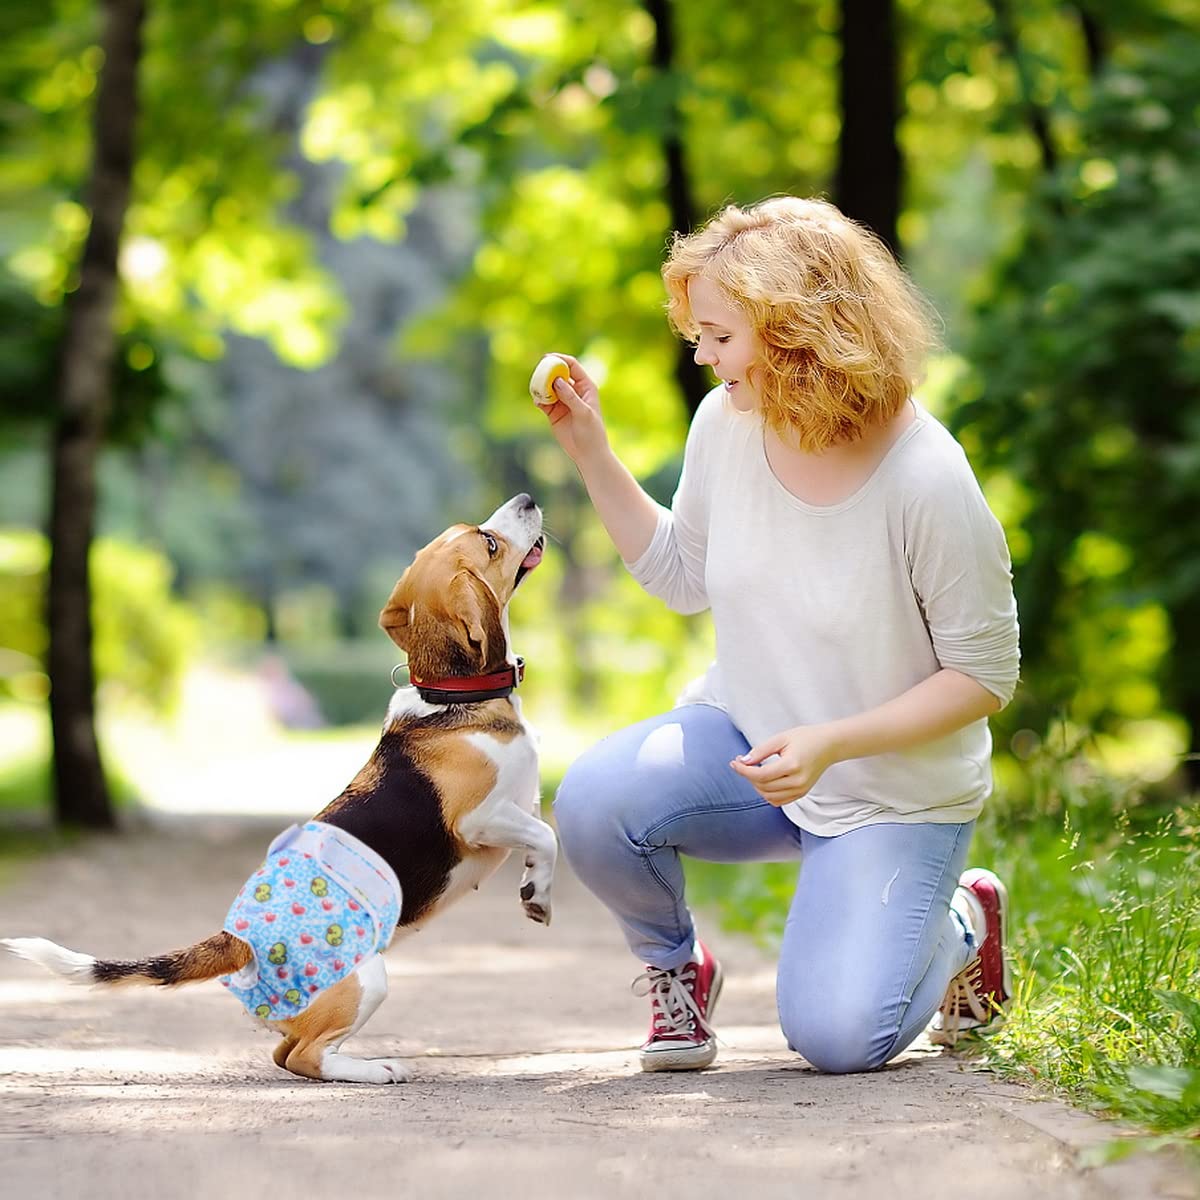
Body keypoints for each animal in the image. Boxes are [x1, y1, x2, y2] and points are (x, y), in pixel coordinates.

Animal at [2, 492, 554, 1084]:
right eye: (489, 543)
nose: (527, 499)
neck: (453, 695)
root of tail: (236, 943)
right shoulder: (480, 819)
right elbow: (547, 836)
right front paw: (540, 897)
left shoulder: (519, 807)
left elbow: (541, 834)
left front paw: (532, 887)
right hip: (369, 979)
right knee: (307, 1056)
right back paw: (375, 1068)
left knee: (285, 1054)